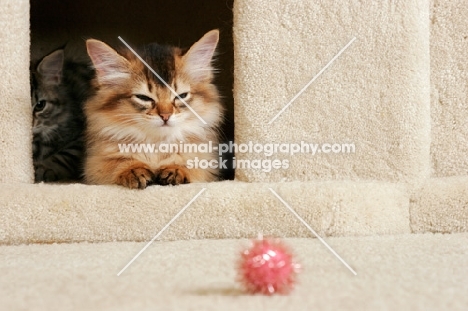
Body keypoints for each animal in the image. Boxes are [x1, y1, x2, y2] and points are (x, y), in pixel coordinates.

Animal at [85, 29, 224, 190]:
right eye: (143, 98)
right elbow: (115, 164)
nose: (166, 116)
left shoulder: (207, 161)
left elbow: (193, 165)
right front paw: (133, 169)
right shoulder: (95, 164)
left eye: (181, 96)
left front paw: (176, 169)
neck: (157, 145)